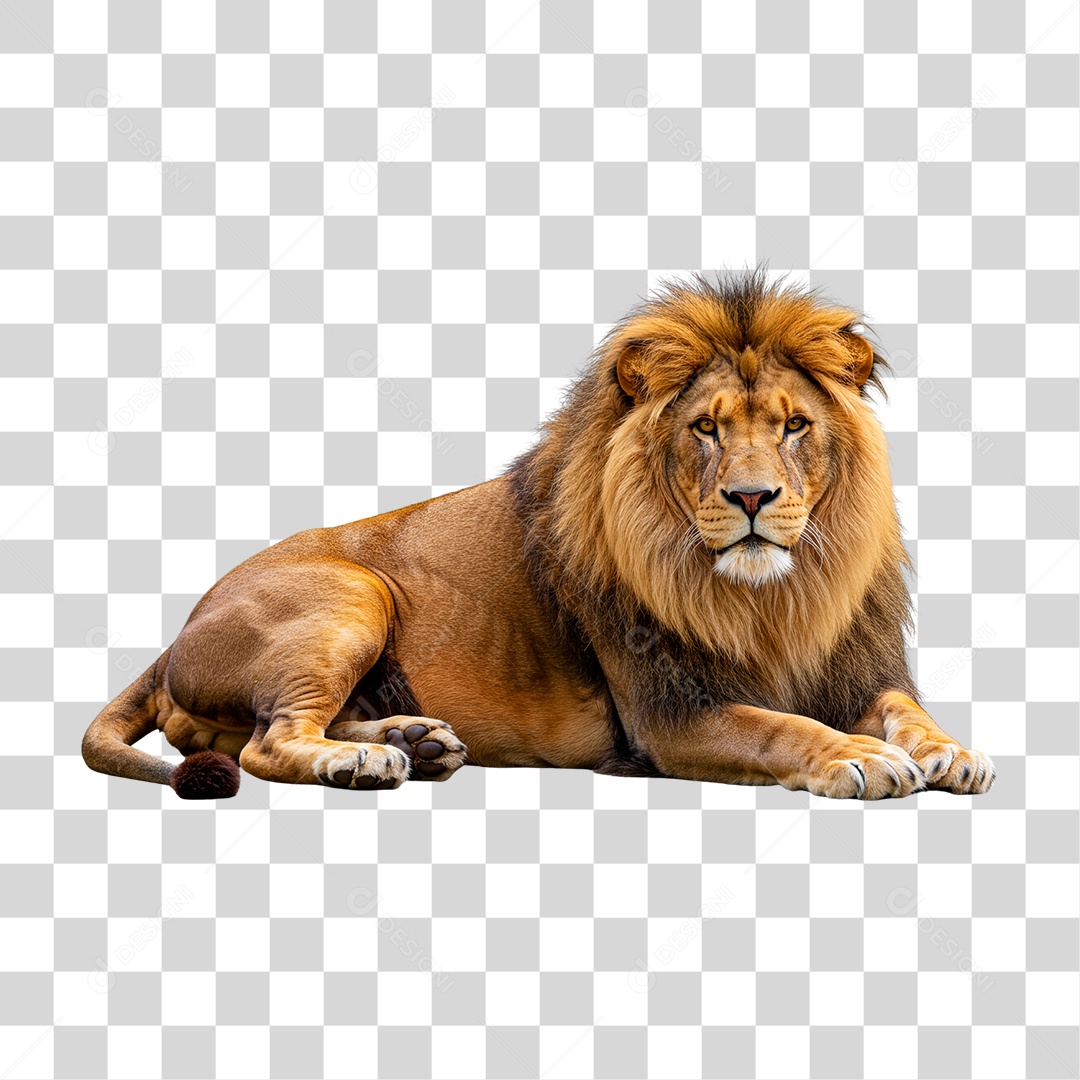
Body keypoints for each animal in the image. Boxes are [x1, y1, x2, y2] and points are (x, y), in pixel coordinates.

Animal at [83, 269, 995, 800]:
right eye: (705, 428)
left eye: (795, 425)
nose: (750, 496)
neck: (780, 597)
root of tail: (179, 631)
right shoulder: (669, 716)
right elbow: (783, 728)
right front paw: (861, 758)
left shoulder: (850, 666)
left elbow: (905, 707)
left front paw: (950, 751)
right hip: (350, 592)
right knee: (269, 742)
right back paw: (367, 760)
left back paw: (412, 739)